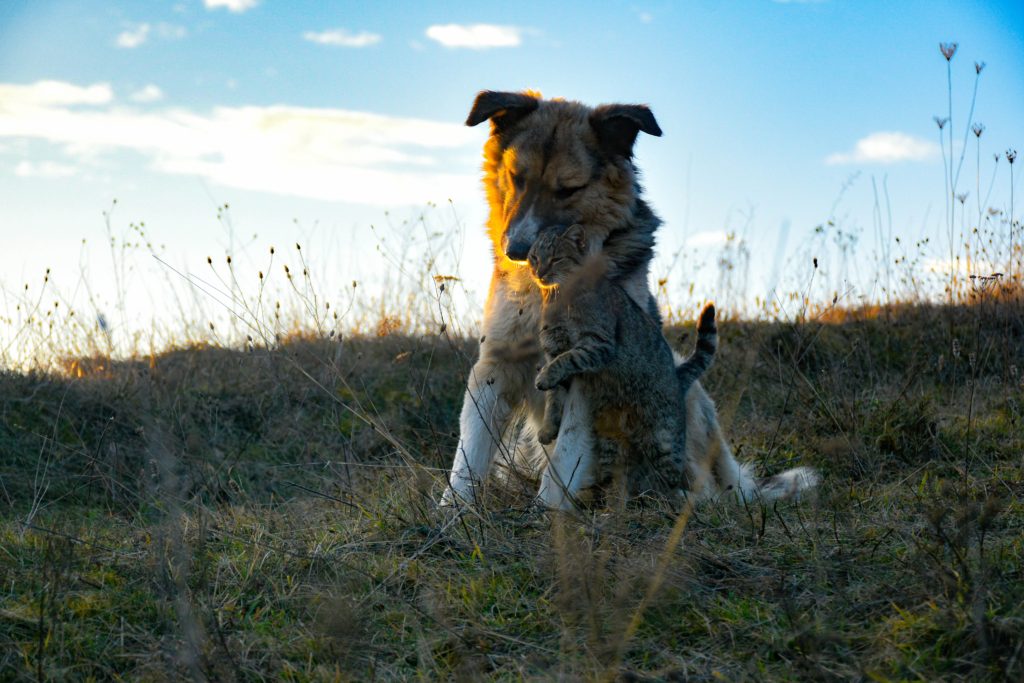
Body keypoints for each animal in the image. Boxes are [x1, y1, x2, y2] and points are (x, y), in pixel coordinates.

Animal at [440, 89, 815, 507]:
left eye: (568, 189)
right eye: (516, 178)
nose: (517, 252)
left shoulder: (589, 370)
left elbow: (565, 455)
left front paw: (546, 514)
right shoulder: (497, 362)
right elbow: (469, 454)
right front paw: (452, 513)